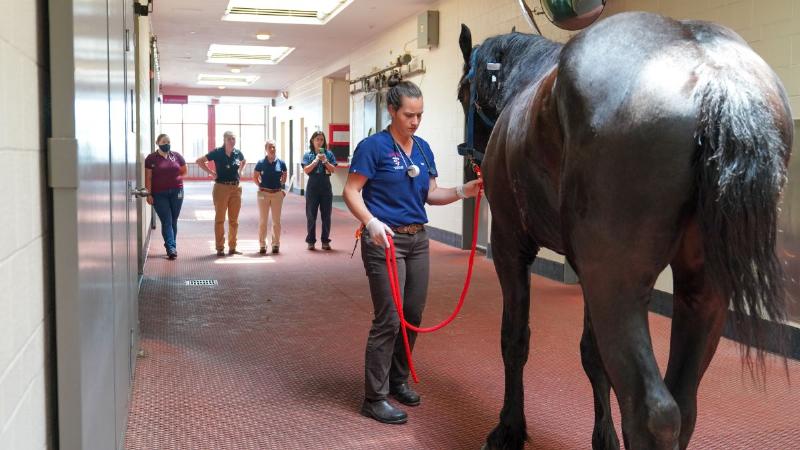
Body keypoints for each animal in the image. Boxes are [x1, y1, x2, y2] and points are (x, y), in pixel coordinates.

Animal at [457, 11, 793, 450]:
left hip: (616, 284)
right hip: (701, 290)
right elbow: (593, 355)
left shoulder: (510, 247)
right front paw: (603, 436)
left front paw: (509, 428)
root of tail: (712, 69)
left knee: (653, 412)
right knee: (684, 404)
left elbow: (515, 339)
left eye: (462, 92)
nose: (472, 161)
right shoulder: (584, 270)